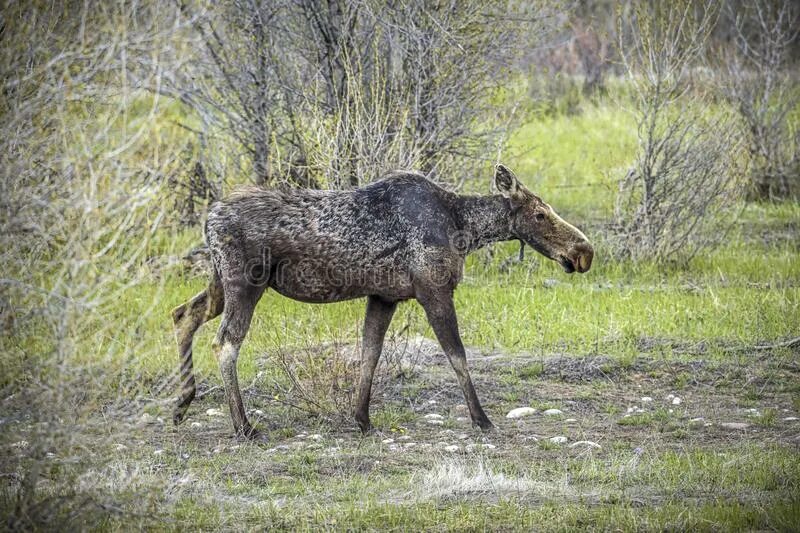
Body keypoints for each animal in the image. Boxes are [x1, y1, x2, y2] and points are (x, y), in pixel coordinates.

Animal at [170, 164, 592, 438]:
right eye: (540, 214)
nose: (584, 251)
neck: (464, 229)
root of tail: (208, 219)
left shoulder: (384, 296)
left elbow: (369, 353)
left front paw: (361, 419)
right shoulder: (433, 289)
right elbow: (457, 355)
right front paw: (481, 419)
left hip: (219, 283)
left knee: (183, 313)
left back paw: (182, 404)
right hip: (244, 282)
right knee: (225, 342)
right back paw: (243, 425)